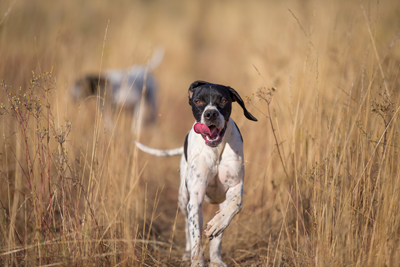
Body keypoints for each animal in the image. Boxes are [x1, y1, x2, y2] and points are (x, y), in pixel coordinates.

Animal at [136, 80, 258, 266]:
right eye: (198, 101)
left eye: (223, 100)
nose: (210, 114)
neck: (215, 151)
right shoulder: (195, 198)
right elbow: (196, 238)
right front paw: (198, 262)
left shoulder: (235, 186)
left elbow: (236, 205)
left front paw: (217, 225)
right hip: (183, 198)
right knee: (188, 228)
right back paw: (188, 254)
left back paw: (216, 257)